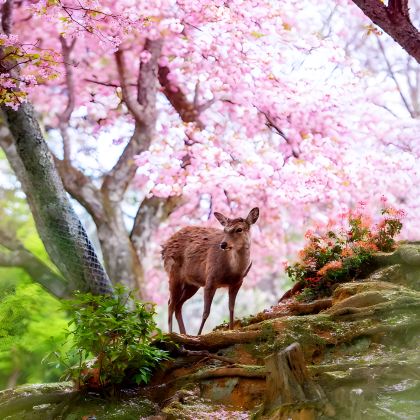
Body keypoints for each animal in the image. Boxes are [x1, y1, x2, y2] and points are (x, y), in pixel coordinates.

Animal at [162, 208, 258, 336]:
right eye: (225, 230)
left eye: (239, 229)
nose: (223, 244)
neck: (233, 271)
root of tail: (164, 247)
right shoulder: (210, 279)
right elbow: (205, 312)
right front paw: (198, 335)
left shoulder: (237, 283)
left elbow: (231, 308)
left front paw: (231, 329)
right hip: (173, 273)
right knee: (170, 303)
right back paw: (171, 333)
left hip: (192, 284)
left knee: (178, 305)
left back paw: (184, 333)